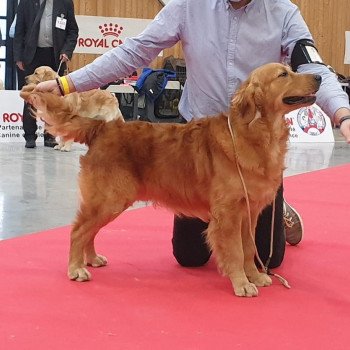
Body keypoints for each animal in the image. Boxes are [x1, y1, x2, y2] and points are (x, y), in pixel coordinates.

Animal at [25, 63, 320, 298]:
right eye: (284, 74)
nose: (318, 75)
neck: (254, 133)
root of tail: (102, 127)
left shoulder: (249, 212)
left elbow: (249, 248)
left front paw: (255, 276)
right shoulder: (228, 214)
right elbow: (236, 250)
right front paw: (242, 283)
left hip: (110, 201)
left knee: (89, 231)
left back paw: (91, 259)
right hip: (110, 199)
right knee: (78, 230)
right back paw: (76, 268)